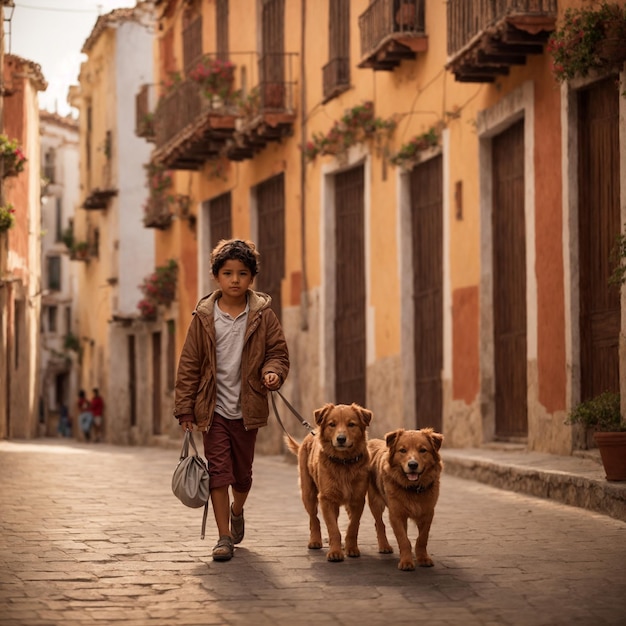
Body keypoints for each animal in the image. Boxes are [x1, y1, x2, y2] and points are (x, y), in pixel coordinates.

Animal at [286, 404, 372, 560]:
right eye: (332, 424)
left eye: (351, 424)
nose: (341, 439)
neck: (344, 463)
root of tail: (311, 433)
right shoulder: (326, 499)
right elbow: (333, 529)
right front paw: (335, 552)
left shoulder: (357, 499)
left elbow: (353, 526)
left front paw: (351, 548)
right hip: (308, 494)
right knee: (314, 519)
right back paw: (315, 541)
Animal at [368, 426, 442, 568]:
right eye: (402, 450)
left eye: (423, 450)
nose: (412, 464)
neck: (413, 488)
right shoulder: (396, 514)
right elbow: (403, 539)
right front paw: (406, 561)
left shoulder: (428, 513)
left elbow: (422, 538)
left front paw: (422, 558)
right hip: (375, 503)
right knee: (379, 524)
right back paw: (384, 546)